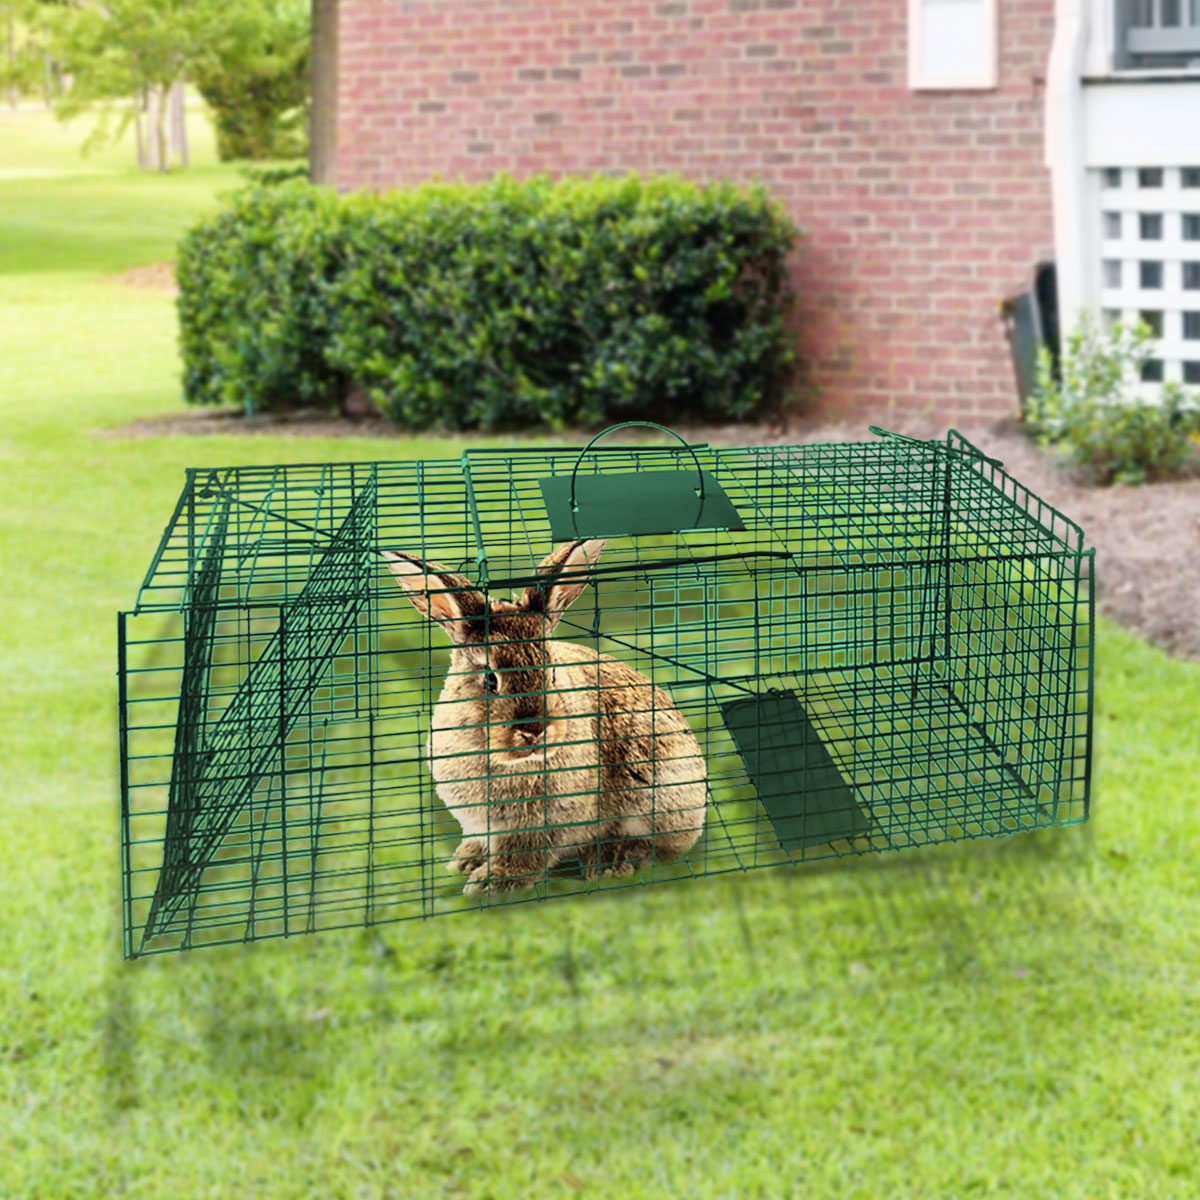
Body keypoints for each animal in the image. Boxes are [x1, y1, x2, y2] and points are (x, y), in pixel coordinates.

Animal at [383, 539, 707, 896]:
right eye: (490, 680)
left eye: (552, 673)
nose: (534, 731)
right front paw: (464, 863)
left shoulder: (542, 826)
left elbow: (526, 857)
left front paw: (491, 883)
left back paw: (613, 861)